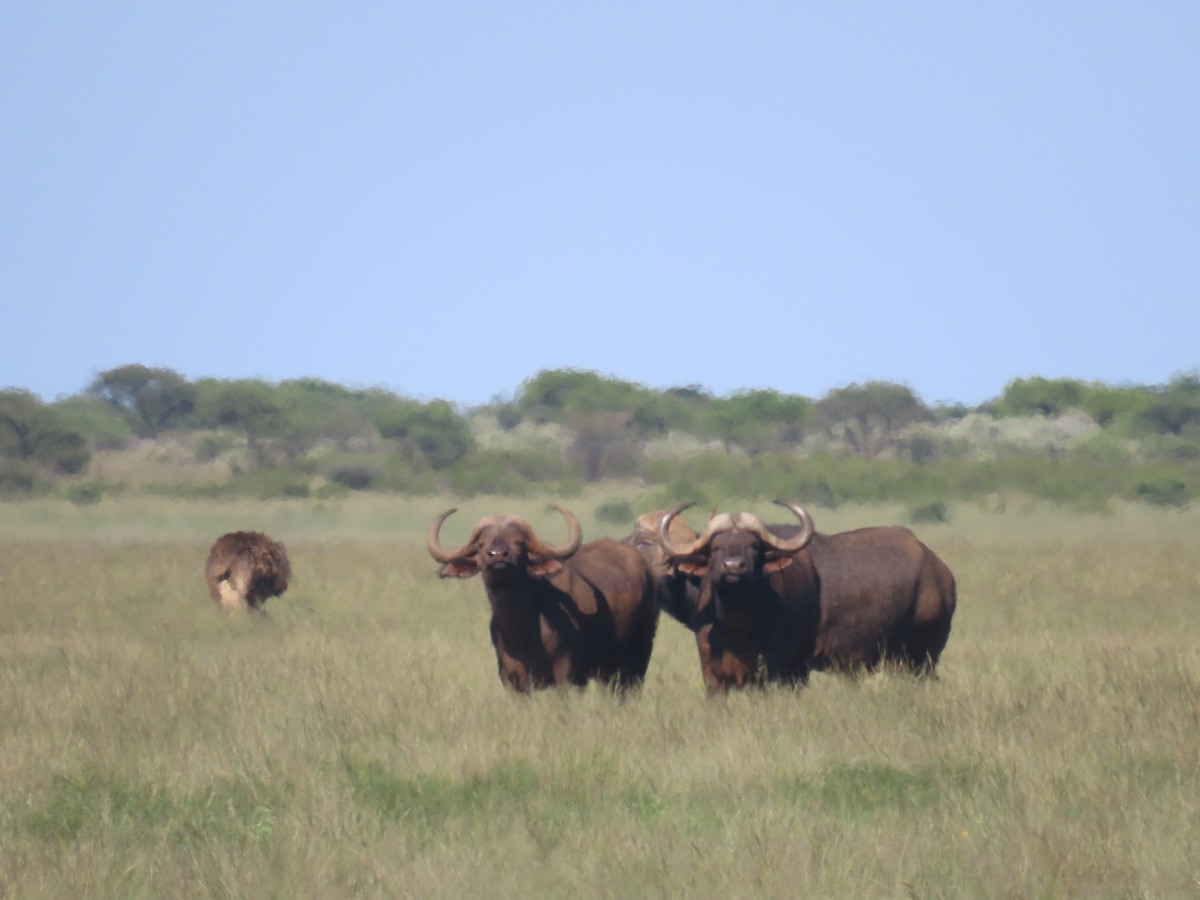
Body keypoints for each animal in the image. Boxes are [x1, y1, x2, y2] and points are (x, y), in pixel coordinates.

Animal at [426, 505, 659, 693]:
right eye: (482, 544)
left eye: (518, 543)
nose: (498, 555)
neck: (523, 631)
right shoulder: (513, 681)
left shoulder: (567, 678)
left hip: (636, 659)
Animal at [659, 501, 957, 693]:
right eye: (715, 548)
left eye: (753, 546)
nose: (734, 567)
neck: (738, 625)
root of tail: (940, 571)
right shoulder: (713, 675)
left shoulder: (786, 670)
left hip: (923, 657)